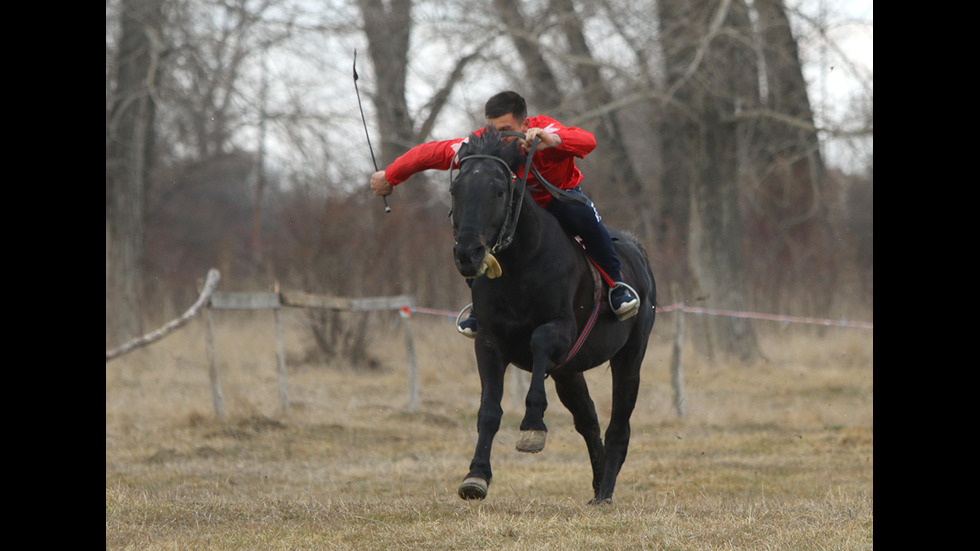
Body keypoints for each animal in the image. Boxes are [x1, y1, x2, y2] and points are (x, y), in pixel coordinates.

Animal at [454, 126, 660, 504]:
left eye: (499, 189)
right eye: (455, 189)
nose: (467, 253)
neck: (521, 265)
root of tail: (636, 249)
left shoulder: (561, 329)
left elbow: (539, 340)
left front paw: (533, 426)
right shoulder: (489, 342)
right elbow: (489, 411)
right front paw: (476, 476)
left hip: (630, 356)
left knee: (619, 424)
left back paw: (606, 491)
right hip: (568, 371)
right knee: (589, 419)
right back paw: (598, 485)